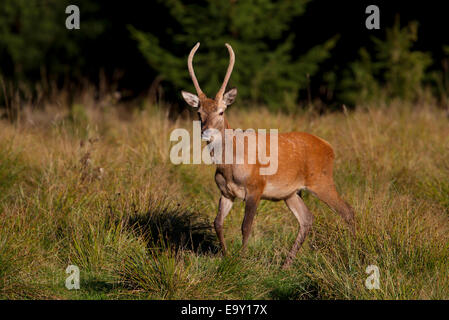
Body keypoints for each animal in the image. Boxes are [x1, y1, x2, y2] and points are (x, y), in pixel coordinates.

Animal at [180, 42, 356, 268]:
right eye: (198, 113)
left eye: (221, 111)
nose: (206, 132)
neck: (228, 167)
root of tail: (329, 147)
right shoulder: (226, 192)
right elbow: (217, 222)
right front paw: (226, 257)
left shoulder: (256, 187)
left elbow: (246, 226)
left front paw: (241, 262)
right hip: (291, 192)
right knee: (307, 218)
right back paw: (286, 265)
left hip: (322, 180)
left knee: (347, 212)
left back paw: (352, 252)